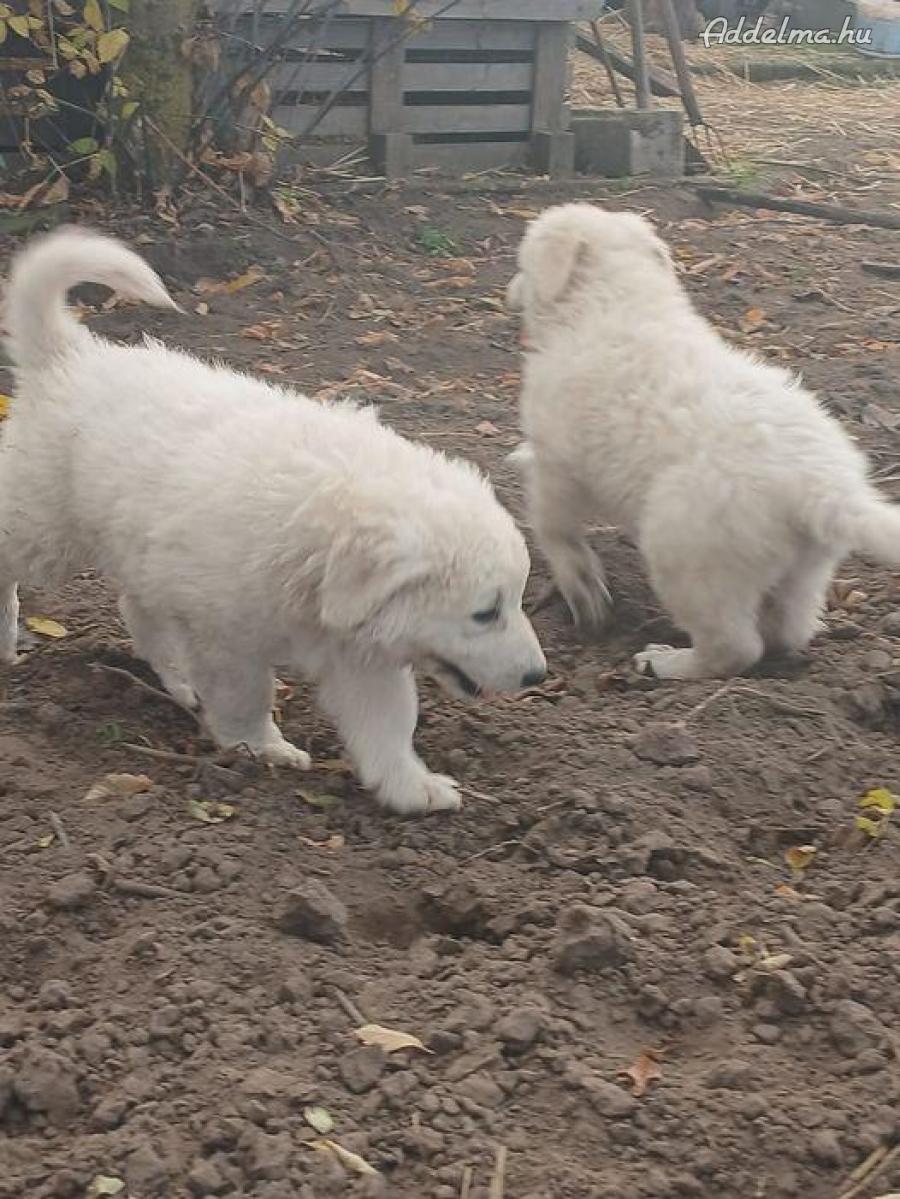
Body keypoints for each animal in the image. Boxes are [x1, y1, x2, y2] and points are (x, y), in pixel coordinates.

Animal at [1, 226, 548, 815]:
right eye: (485, 613)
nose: (538, 675)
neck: (315, 549)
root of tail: (69, 355)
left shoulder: (363, 656)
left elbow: (389, 724)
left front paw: (411, 787)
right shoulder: (227, 636)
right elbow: (246, 695)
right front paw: (259, 748)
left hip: (146, 552)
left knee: (140, 613)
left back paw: (179, 684)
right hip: (42, 524)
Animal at [508, 201, 900, 681]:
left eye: (522, 264)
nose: (510, 291)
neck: (612, 301)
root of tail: (825, 488)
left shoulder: (558, 464)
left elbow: (555, 528)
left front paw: (582, 590)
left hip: (687, 554)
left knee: (734, 648)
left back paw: (664, 662)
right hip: (806, 565)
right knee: (788, 629)